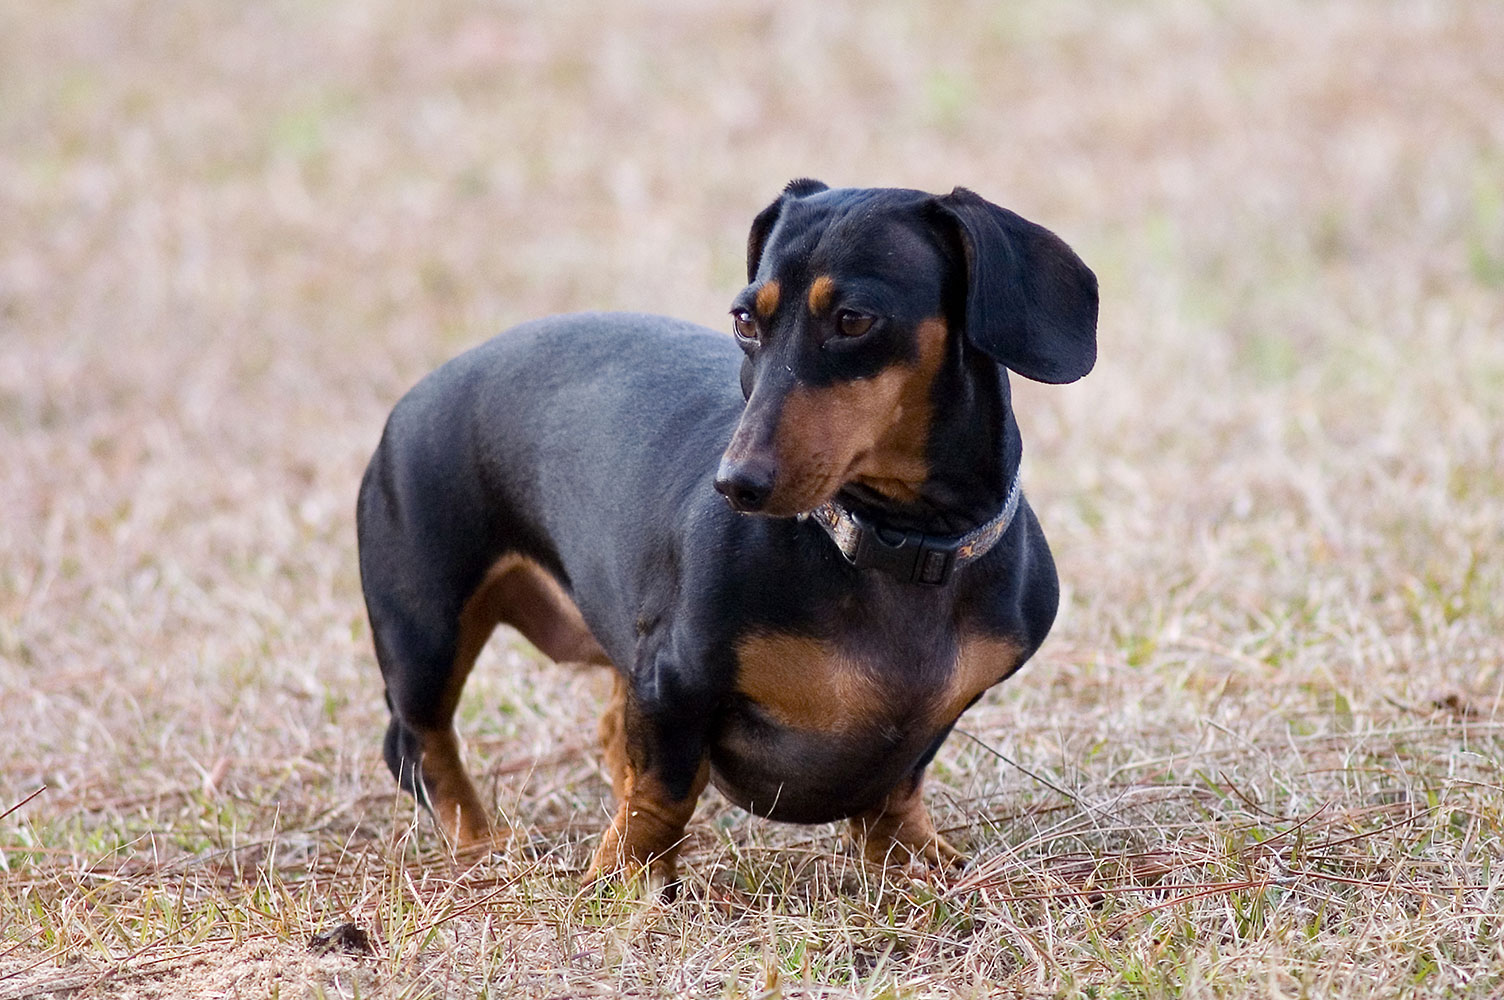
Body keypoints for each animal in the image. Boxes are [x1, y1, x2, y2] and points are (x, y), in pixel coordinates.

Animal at [357, 180, 1097, 887]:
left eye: (853, 320)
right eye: (746, 319)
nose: (736, 484)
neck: (892, 544)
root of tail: (421, 391)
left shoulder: (931, 721)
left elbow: (896, 791)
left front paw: (917, 861)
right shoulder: (672, 681)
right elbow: (664, 793)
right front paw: (627, 881)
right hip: (427, 629)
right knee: (417, 743)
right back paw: (480, 847)